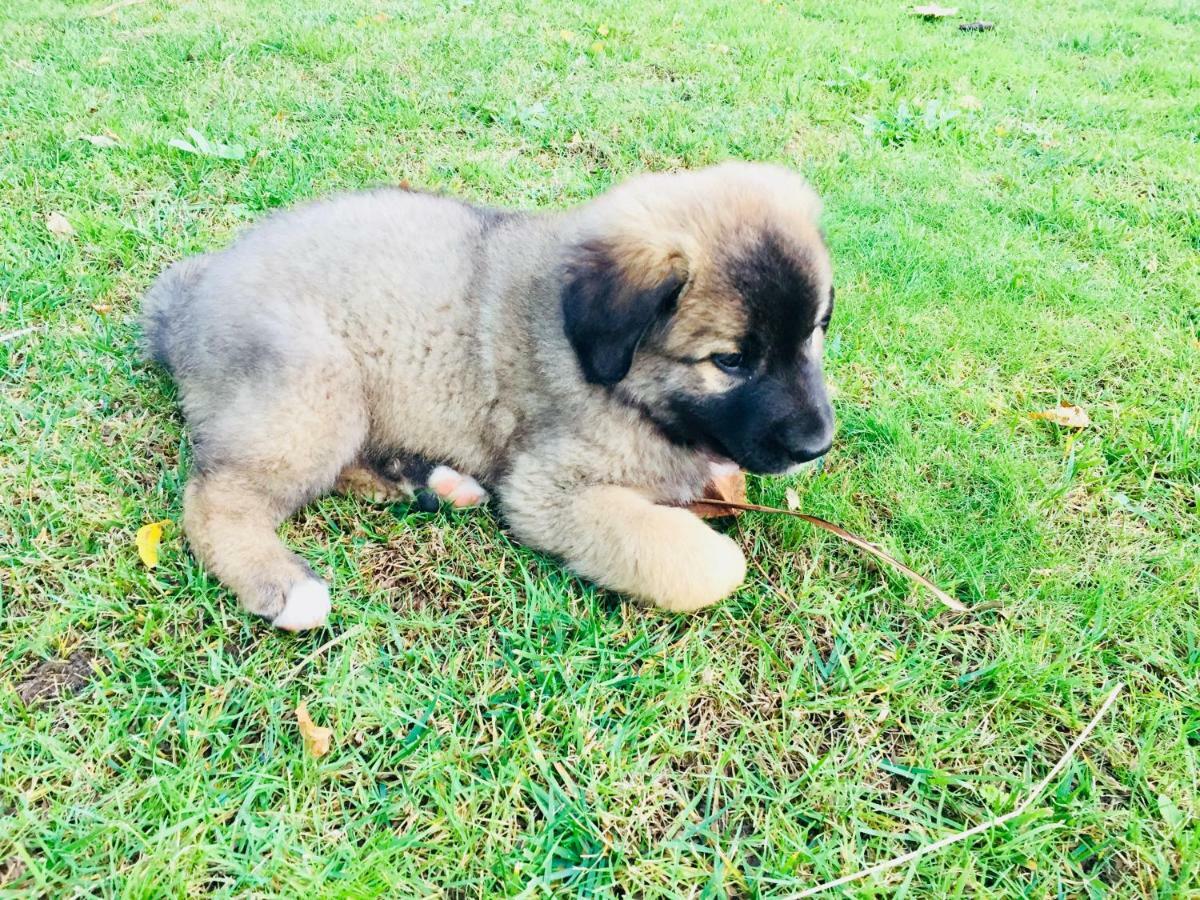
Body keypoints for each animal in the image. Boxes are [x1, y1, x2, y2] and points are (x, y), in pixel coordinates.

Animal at [140, 162, 835, 628]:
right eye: (730, 361)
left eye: (816, 330)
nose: (817, 445)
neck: (619, 380)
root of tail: (183, 311)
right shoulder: (548, 491)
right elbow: (712, 566)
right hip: (319, 385)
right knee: (217, 497)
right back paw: (284, 585)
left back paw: (430, 482)